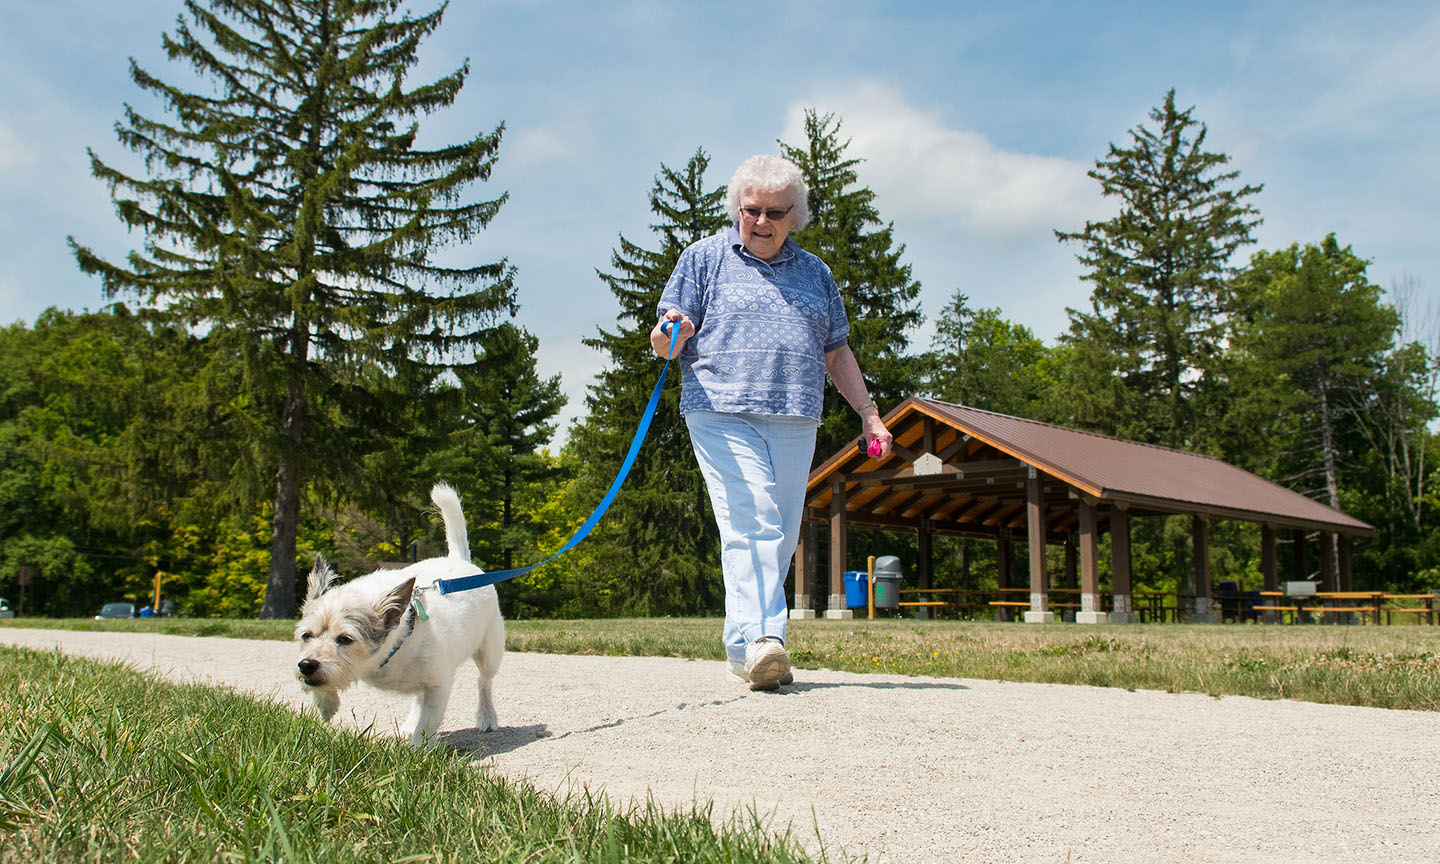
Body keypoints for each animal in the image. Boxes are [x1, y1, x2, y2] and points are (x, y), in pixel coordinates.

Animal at [289, 483, 504, 743]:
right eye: (306, 635)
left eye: (345, 639)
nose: (307, 664)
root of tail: (460, 560)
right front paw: (327, 704)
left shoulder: (439, 684)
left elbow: (427, 723)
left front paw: (417, 748)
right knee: (419, 696)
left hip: (490, 652)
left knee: (484, 682)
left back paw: (486, 716)